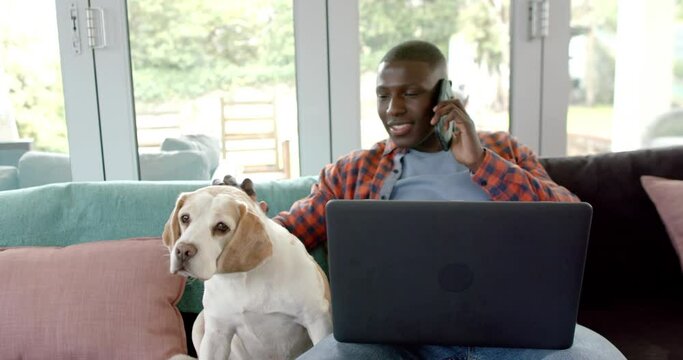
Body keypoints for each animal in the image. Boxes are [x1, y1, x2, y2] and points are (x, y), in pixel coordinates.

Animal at [161, 186, 332, 360]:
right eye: (185, 218)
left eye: (222, 226)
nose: (183, 251)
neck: (242, 278)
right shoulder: (216, 334)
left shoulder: (317, 319)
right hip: (199, 324)